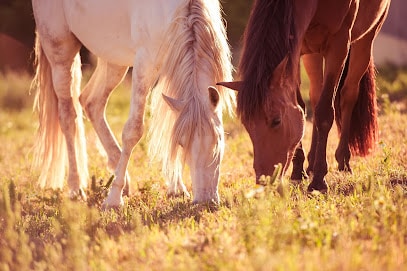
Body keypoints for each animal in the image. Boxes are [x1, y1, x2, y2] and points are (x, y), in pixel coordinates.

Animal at [31, 0, 236, 208]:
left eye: (219, 141)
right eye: (181, 143)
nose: (205, 201)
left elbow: (170, 123)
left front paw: (176, 188)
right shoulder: (144, 65)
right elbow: (133, 131)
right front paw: (113, 199)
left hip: (112, 59)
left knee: (91, 102)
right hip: (60, 52)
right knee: (68, 117)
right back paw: (76, 188)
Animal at [220, 0, 392, 193]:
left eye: (276, 121)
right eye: (246, 124)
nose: (264, 180)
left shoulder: (339, 45)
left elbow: (325, 112)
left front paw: (318, 181)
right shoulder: (297, 48)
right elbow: (302, 107)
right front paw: (298, 172)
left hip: (366, 40)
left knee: (348, 95)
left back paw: (343, 161)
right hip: (313, 54)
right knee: (316, 95)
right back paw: (310, 164)